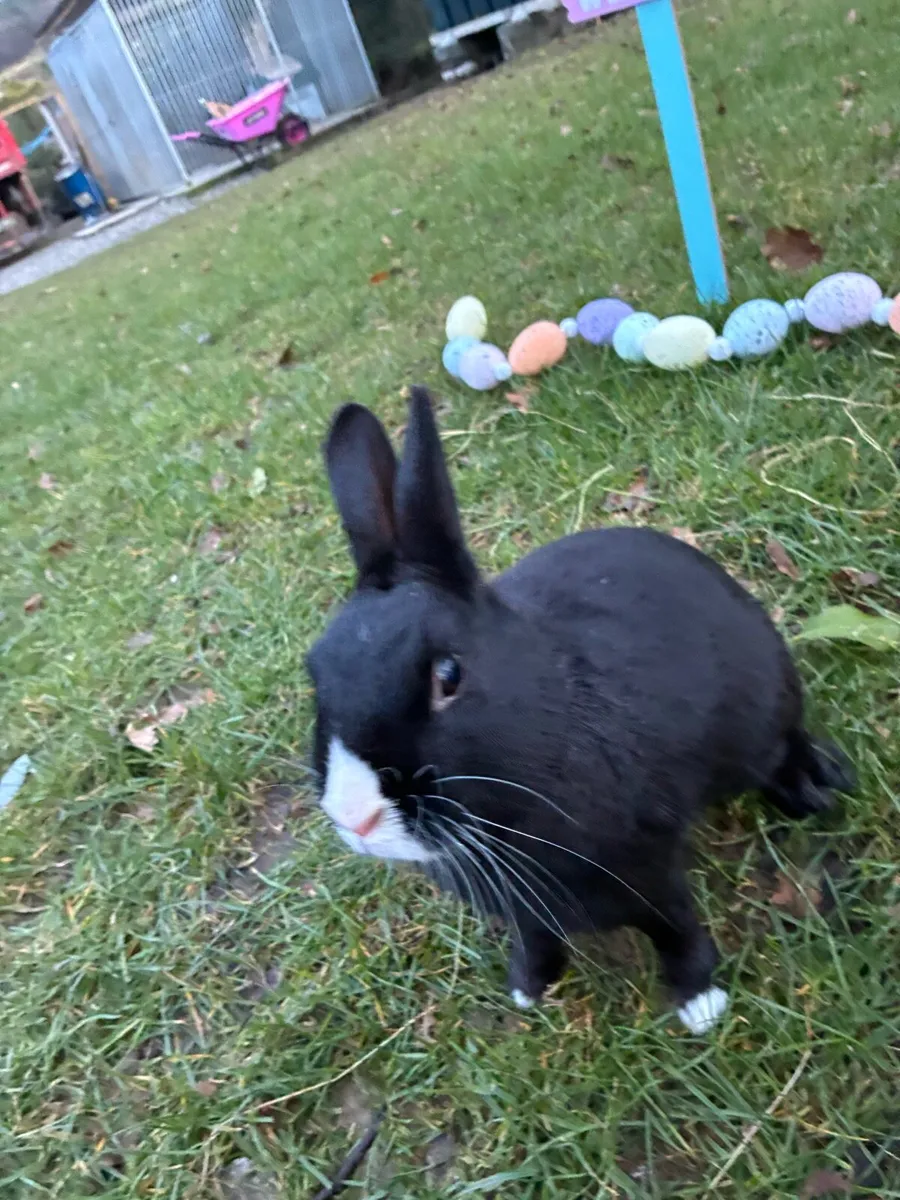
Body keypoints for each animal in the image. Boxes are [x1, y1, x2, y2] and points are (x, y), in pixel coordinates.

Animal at [306, 387, 854, 1033]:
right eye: (314, 671)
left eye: (448, 676)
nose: (356, 818)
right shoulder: (526, 910)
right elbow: (537, 939)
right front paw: (527, 989)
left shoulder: (649, 873)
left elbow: (675, 928)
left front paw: (699, 1003)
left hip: (763, 714)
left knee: (786, 745)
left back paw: (817, 788)